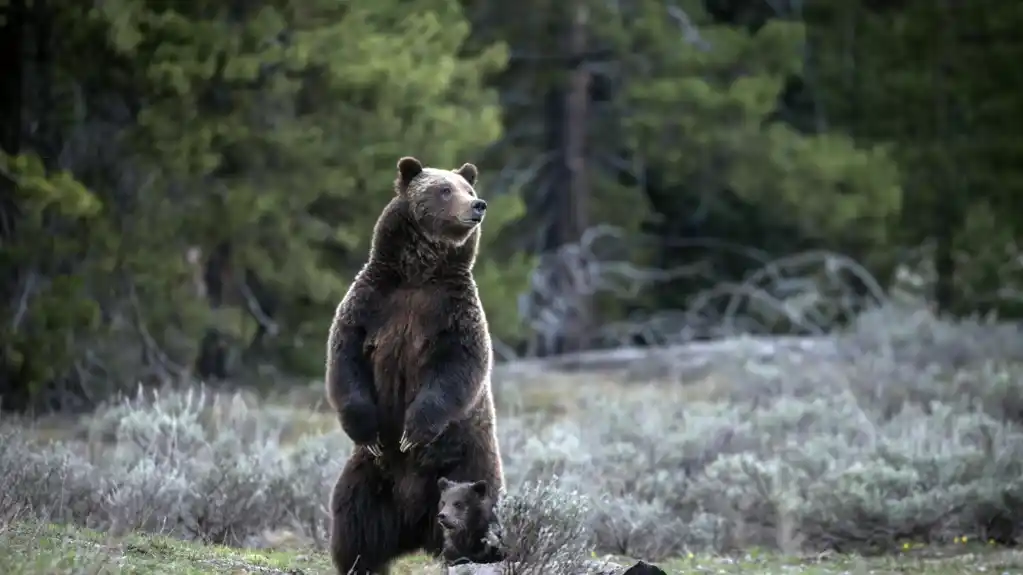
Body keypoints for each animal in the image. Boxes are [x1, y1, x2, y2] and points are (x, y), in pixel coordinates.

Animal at [325, 156, 505, 572]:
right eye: (445, 189)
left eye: (467, 188)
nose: (478, 205)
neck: (419, 273)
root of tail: (414, 526)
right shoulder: (372, 303)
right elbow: (346, 359)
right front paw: (370, 430)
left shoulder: (453, 313)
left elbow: (457, 368)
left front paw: (413, 430)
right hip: (369, 478)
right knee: (354, 520)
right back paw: (359, 563)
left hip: (469, 466)